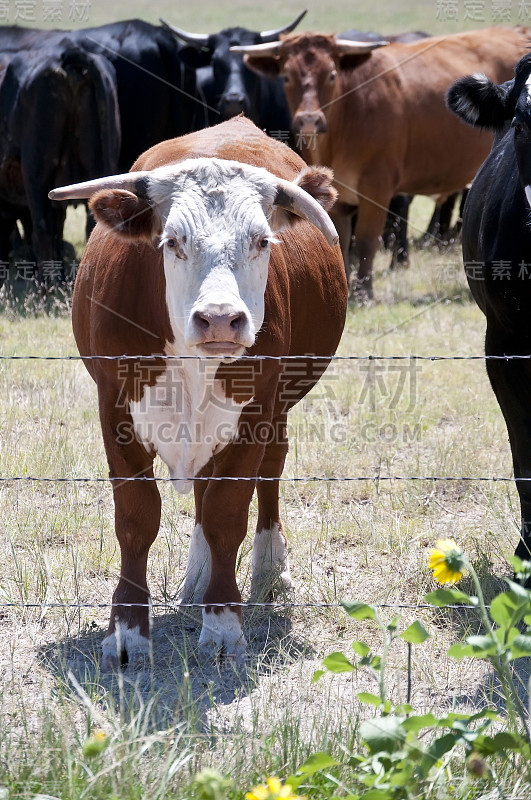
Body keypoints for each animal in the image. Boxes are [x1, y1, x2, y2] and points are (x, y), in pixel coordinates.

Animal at [51, 117, 350, 668]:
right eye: (172, 241)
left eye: (261, 241)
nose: (219, 319)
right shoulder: (115, 407)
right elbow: (137, 516)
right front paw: (128, 632)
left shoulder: (255, 411)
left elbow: (227, 511)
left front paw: (225, 625)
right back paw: (199, 576)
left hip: (277, 407)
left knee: (267, 475)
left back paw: (269, 569)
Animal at [237, 28, 531, 298]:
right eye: (286, 77)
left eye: (331, 75)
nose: (309, 119)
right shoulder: (339, 197)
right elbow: (342, 239)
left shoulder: (377, 188)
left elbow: (366, 240)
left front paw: (364, 293)